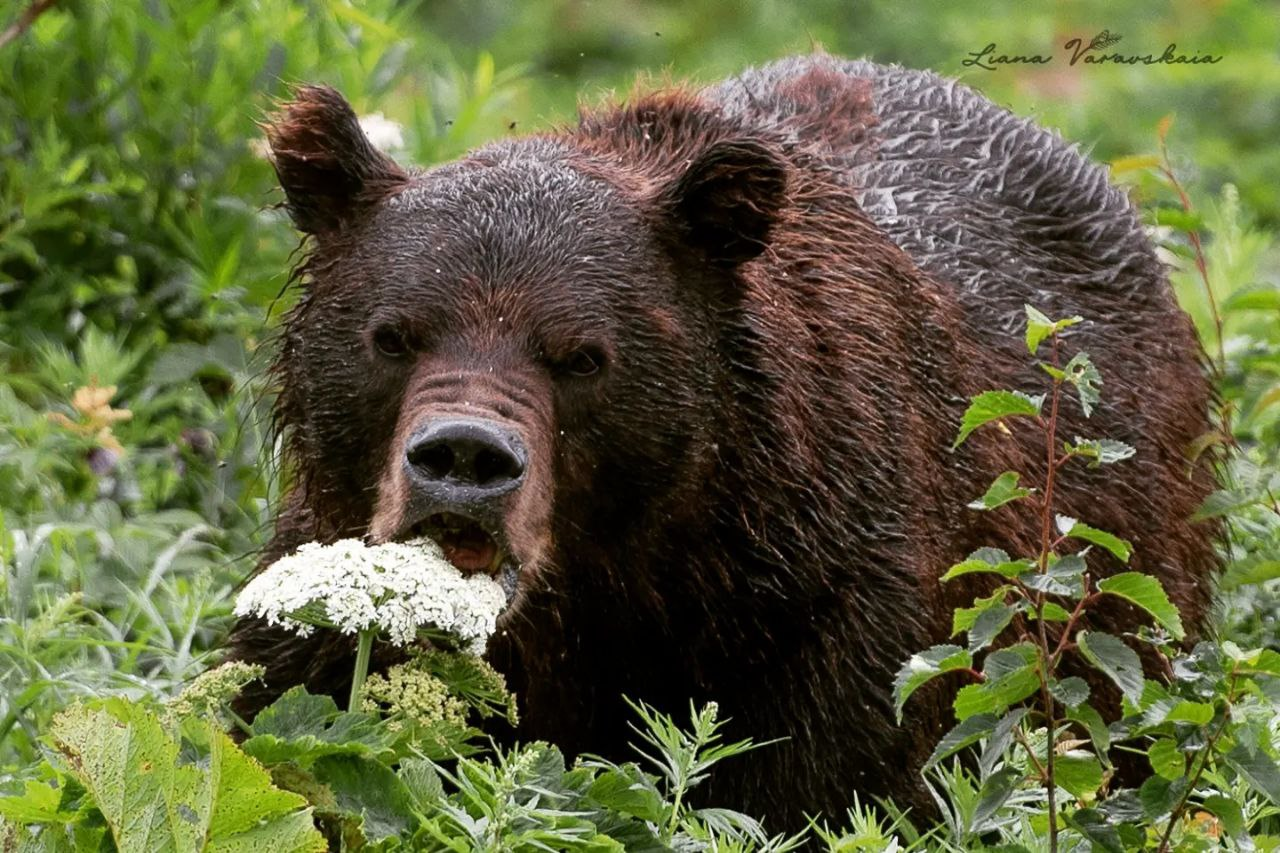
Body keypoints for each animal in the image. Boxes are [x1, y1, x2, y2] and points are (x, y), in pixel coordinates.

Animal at [230, 56, 1218, 824]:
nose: (464, 458)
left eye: (580, 354)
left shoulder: (829, 603)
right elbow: (280, 724)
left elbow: (833, 785)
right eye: (395, 334)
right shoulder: (317, 588)